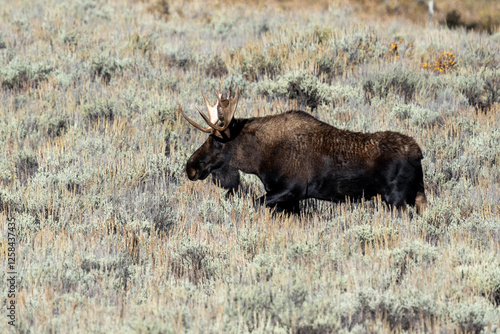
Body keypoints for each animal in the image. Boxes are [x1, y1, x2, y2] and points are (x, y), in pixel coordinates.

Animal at [180, 87, 426, 214]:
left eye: (218, 141)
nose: (191, 167)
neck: (259, 160)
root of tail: (418, 153)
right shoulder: (291, 198)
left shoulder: (290, 190)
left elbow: (256, 203)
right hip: (417, 194)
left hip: (395, 198)